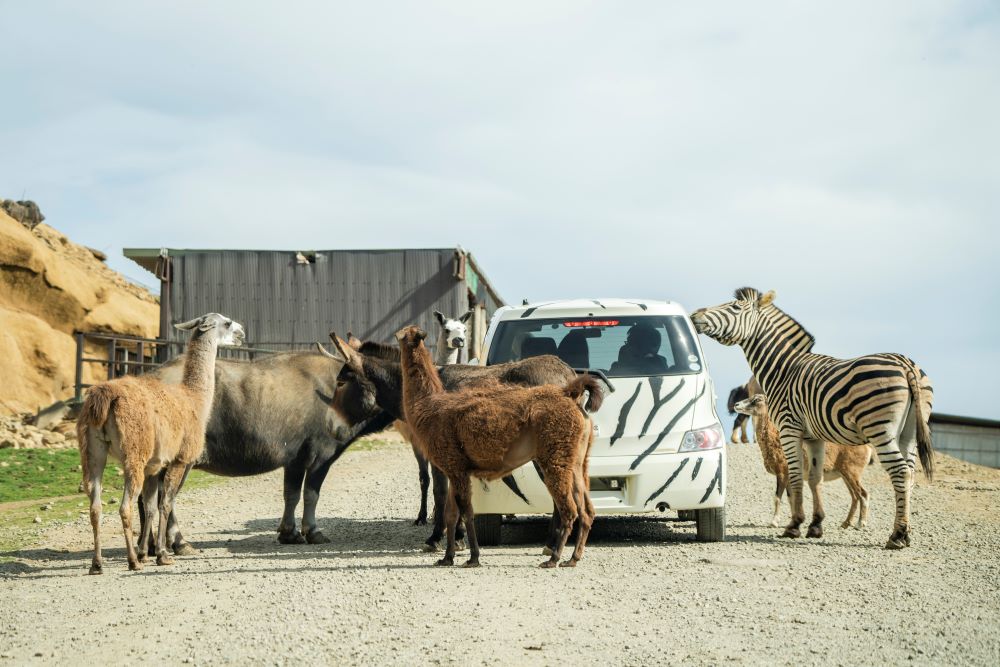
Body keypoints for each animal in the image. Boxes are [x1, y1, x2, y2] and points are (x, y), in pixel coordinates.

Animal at [692, 284, 932, 552]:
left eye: (734, 307)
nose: (694, 316)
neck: (782, 368)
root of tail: (905, 364)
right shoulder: (814, 437)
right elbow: (815, 479)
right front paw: (816, 525)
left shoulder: (789, 428)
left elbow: (796, 477)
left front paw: (794, 525)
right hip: (909, 431)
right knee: (909, 473)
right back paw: (905, 532)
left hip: (880, 429)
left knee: (899, 472)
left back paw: (897, 535)